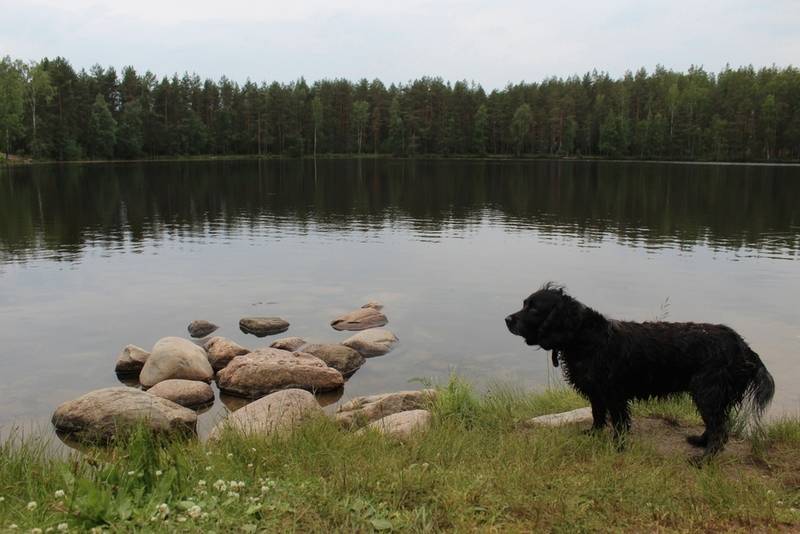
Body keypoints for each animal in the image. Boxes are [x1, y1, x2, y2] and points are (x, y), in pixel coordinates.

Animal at [506, 282, 776, 462]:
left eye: (534, 309)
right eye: (524, 304)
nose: (507, 320)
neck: (586, 338)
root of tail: (743, 347)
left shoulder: (614, 393)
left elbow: (619, 423)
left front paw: (617, 446)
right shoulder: (597, 391)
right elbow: (597, 414)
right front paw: (593, 434)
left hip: (708, 392)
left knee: (720, 430)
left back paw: (704, 460)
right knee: (715, 426)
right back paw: (700, 441)